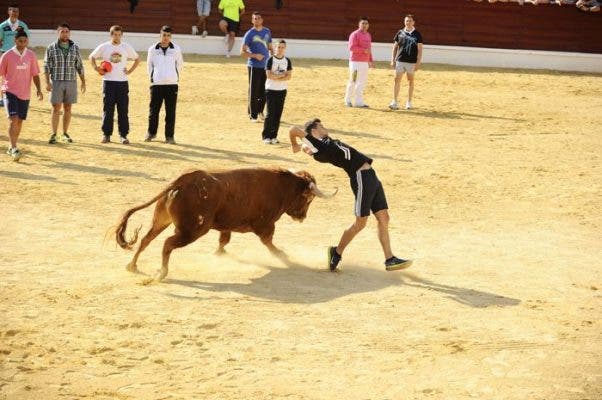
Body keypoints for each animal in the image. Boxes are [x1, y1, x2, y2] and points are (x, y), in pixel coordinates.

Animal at [115, 166, 336, 282]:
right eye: (309, 199)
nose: (303, 217)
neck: (281, 187)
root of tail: (181, 181)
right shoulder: (265, 225)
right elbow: (269, 242)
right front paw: (283, 256)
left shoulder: (228, 225)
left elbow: (224, 240)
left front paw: (219, 253)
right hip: (192, 231)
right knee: (167, 244)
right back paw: (162, 273)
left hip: (162, 219)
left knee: (146, 239)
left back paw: (132, 266)